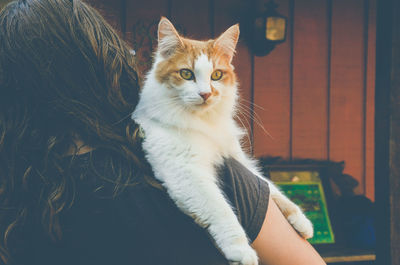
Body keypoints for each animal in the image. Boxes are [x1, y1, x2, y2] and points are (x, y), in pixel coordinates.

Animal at [133, 17, 314, 262]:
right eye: (186, 74)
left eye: (216, 75)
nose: (206, 94)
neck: (205, 122)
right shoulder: (186, 170)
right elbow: (222, 211)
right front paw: (241, 250)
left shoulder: (237, 157)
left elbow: (271, 188)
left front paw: (300, 220)